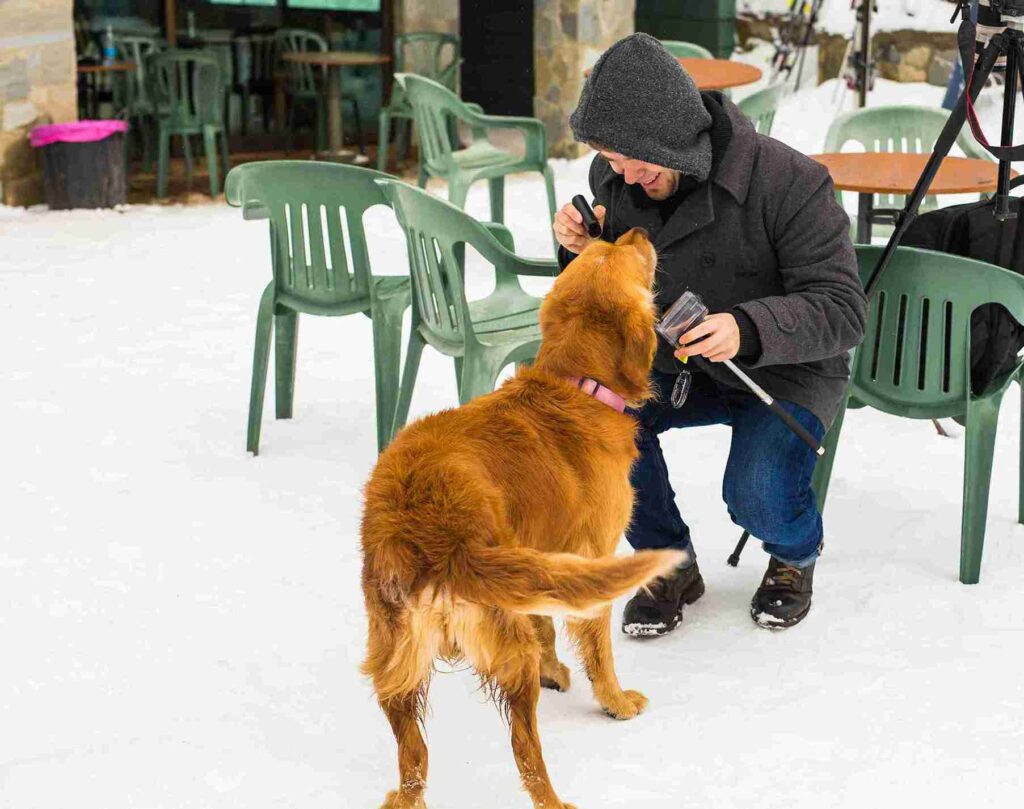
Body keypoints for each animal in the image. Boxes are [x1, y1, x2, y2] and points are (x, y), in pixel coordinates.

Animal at [360, 228, 679, 809]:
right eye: (617, 252)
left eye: (600, 245)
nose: (636, 231)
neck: (577, 385)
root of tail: (426, 538)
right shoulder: (591, 556)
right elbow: (597, 650)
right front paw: (616, 702)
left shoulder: (541, 561)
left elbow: (546, 621)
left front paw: (557, 670)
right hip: (505, 652)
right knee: (525, 752)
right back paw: (555, 797)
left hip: (395, 665)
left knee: (414, 758)